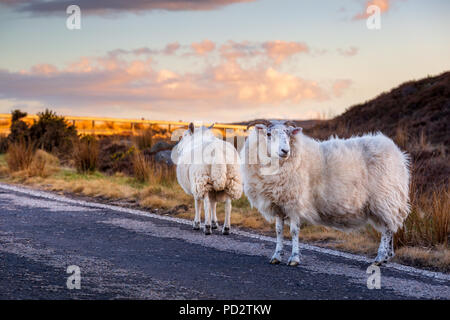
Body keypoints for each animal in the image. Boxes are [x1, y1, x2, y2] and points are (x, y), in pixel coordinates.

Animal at [241, 119, 410, 264]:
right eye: (269, 134)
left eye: (288, 134)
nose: (285, 150)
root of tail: (397, 152)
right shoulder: (279, 204)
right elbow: (278, 231)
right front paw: (276, 256)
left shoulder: (295, 203)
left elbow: (294, 231)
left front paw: (294, 258)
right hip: (386, 201)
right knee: (391, 226)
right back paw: (388, 255)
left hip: (385, 198)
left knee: (387, 229)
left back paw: (381, 257)